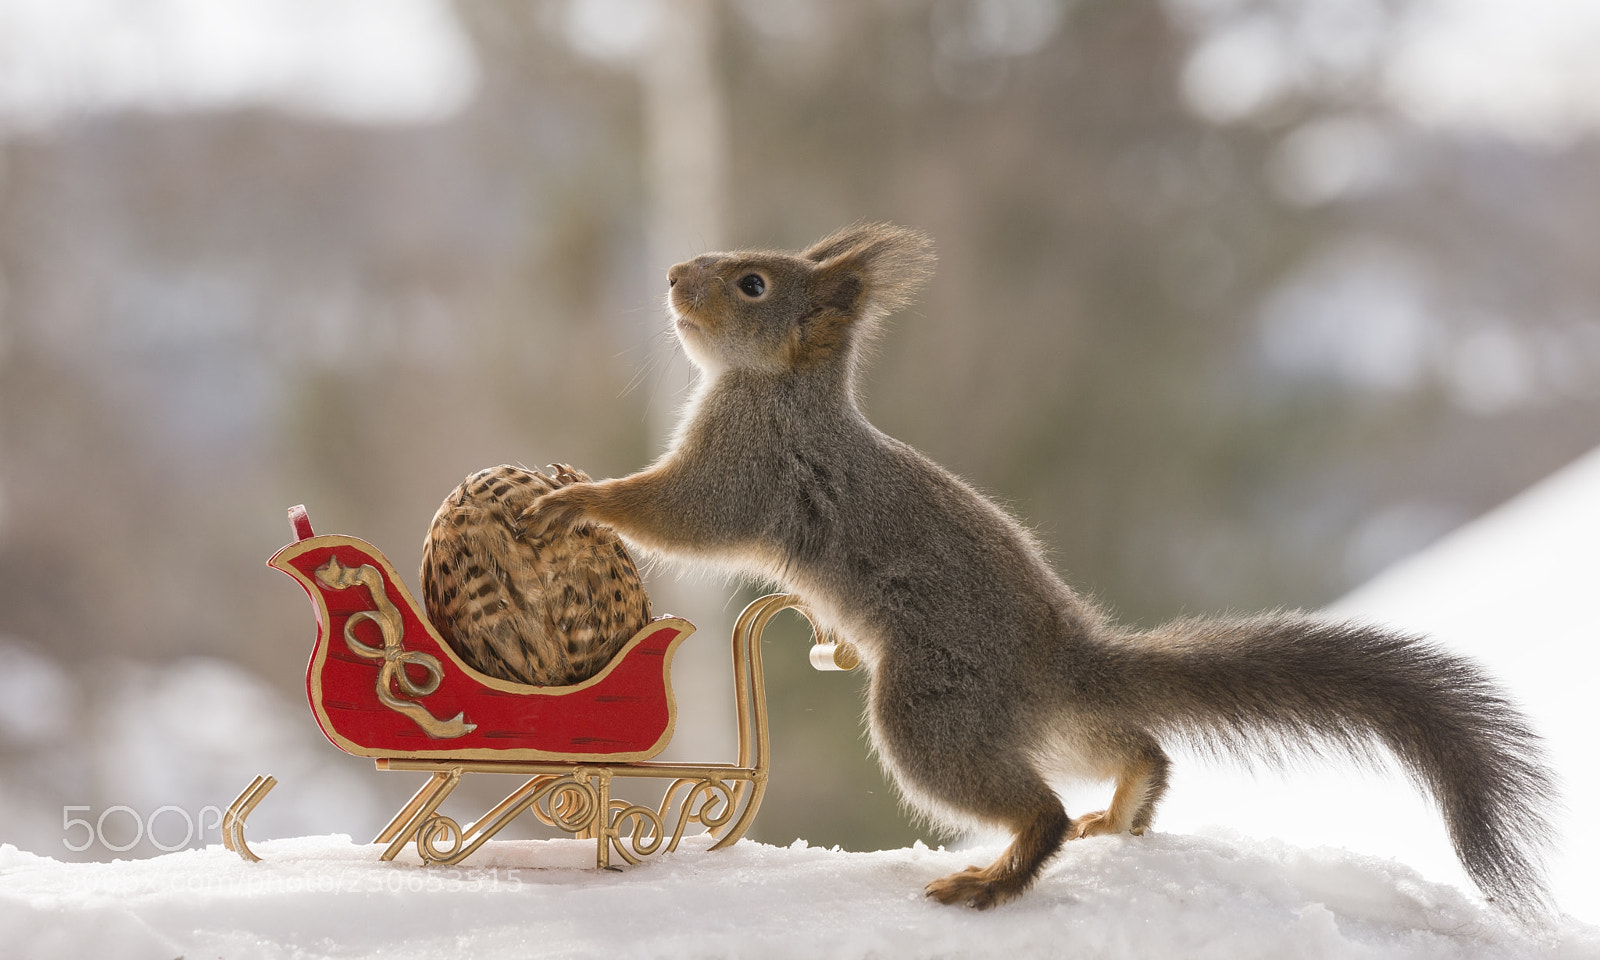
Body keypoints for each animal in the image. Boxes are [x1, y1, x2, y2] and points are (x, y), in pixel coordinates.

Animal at [522, 222, 1557, 914]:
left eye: (749, 284)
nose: (671, 275)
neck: (780, 389)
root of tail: (1060, 657)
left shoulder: (748, 466)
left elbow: (679, 515)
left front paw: (582, 499)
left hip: (933, 709)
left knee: (1041, 810)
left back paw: (998, 877)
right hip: (1036, 723)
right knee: (1136, 746)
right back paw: (1125, 806)